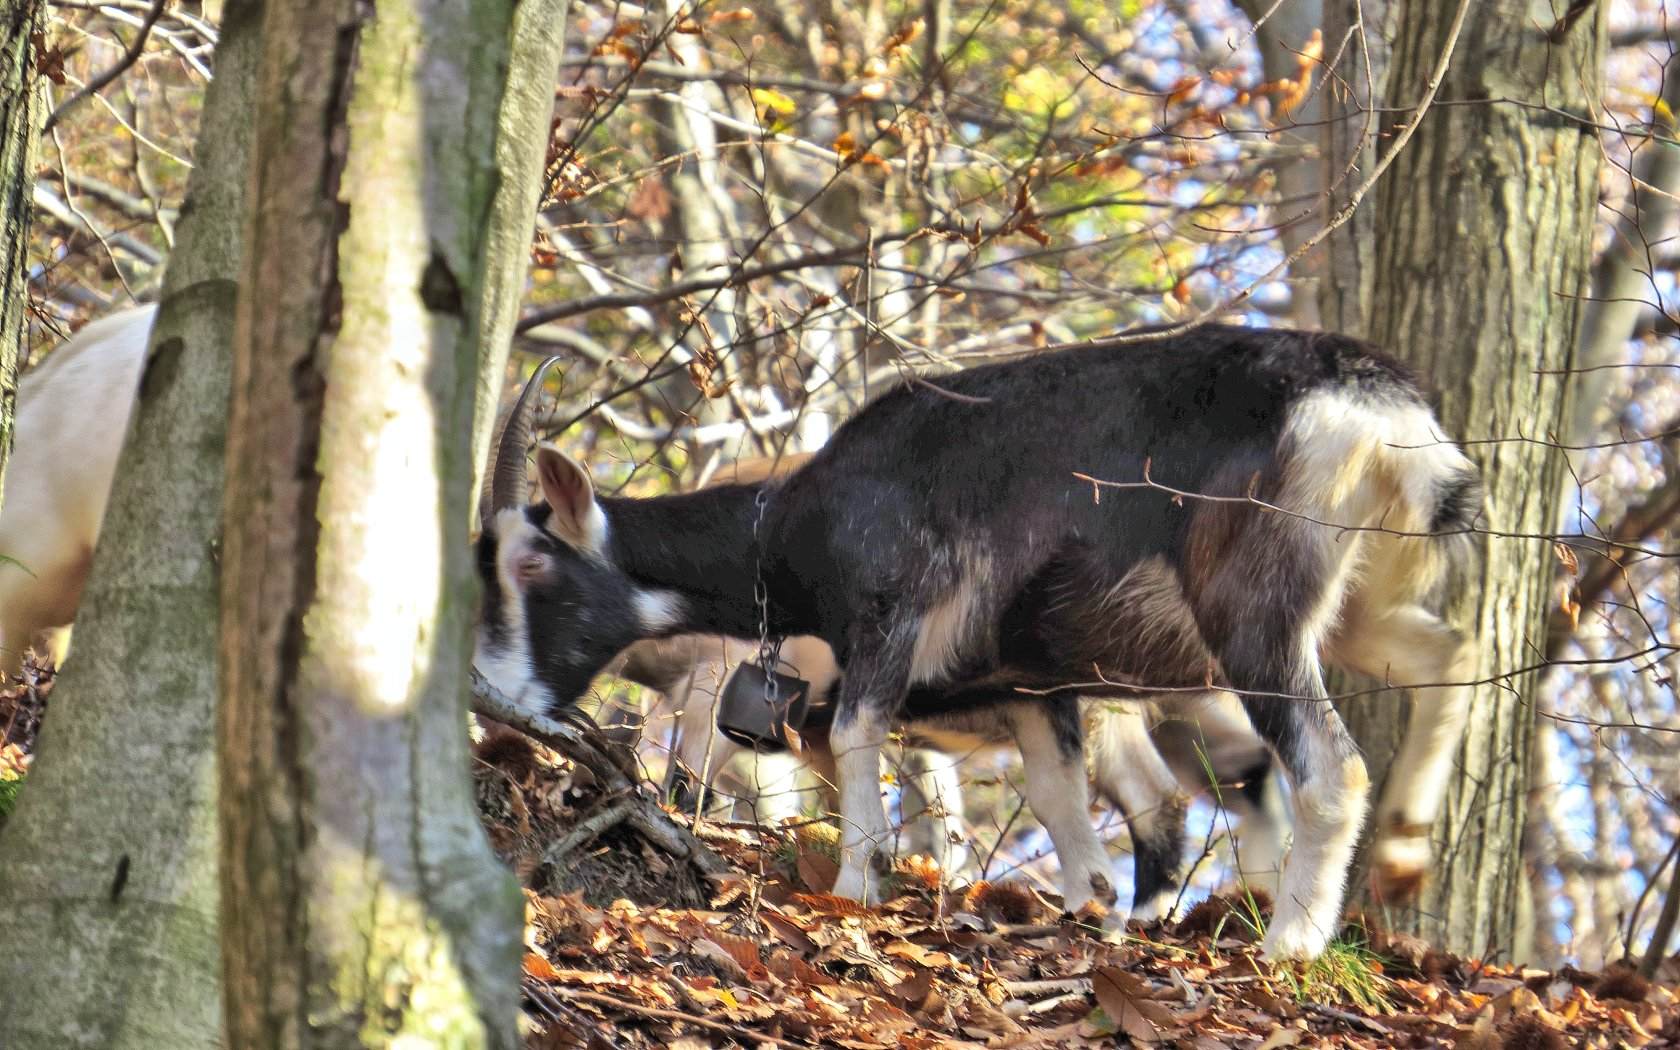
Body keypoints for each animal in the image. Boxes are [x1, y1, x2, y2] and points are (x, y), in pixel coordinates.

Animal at [470, 327, 1471, 960]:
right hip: (1358, 599)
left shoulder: (890, 611)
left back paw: (1292, 942)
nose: (495, 694)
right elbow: (1067, 814)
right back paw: (1402, 858)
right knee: (1449, 656)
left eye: (531, 562)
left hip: (1252, 609)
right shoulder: (1031, 691)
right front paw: (1088, 914)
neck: (792, 517)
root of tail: (1376, 409)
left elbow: (854, 736)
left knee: (1331, 766)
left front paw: (855, 888)